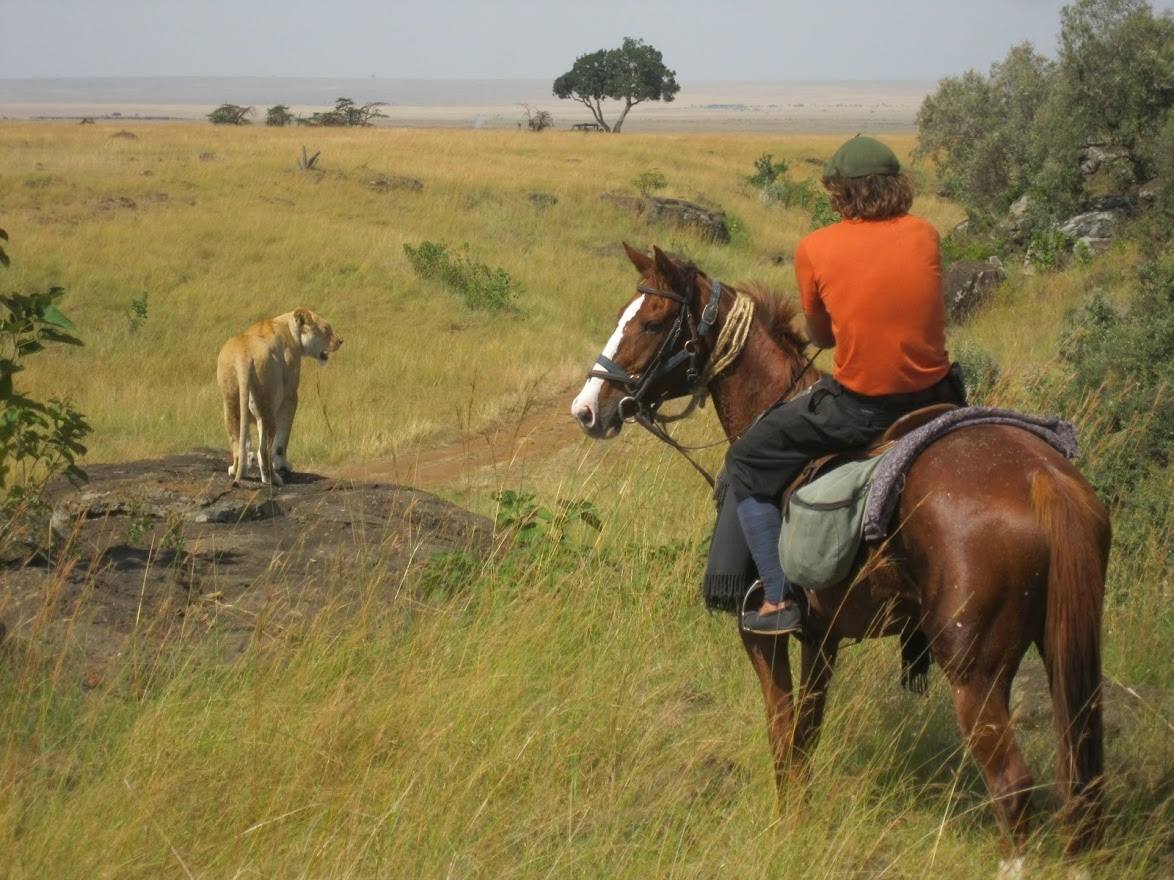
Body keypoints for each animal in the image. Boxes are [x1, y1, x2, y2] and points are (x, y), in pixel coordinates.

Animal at [570, 244, 1110, 855]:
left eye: (653, 322)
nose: (586, 409)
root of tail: (1044, 478)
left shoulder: (764, 636)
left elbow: (782, 730)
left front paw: (785, 825)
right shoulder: (822, 638)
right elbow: (807, 731)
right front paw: (799, 818)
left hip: (973, 669)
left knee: (1012, 785)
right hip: (1061, 650)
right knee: (1079, 775)